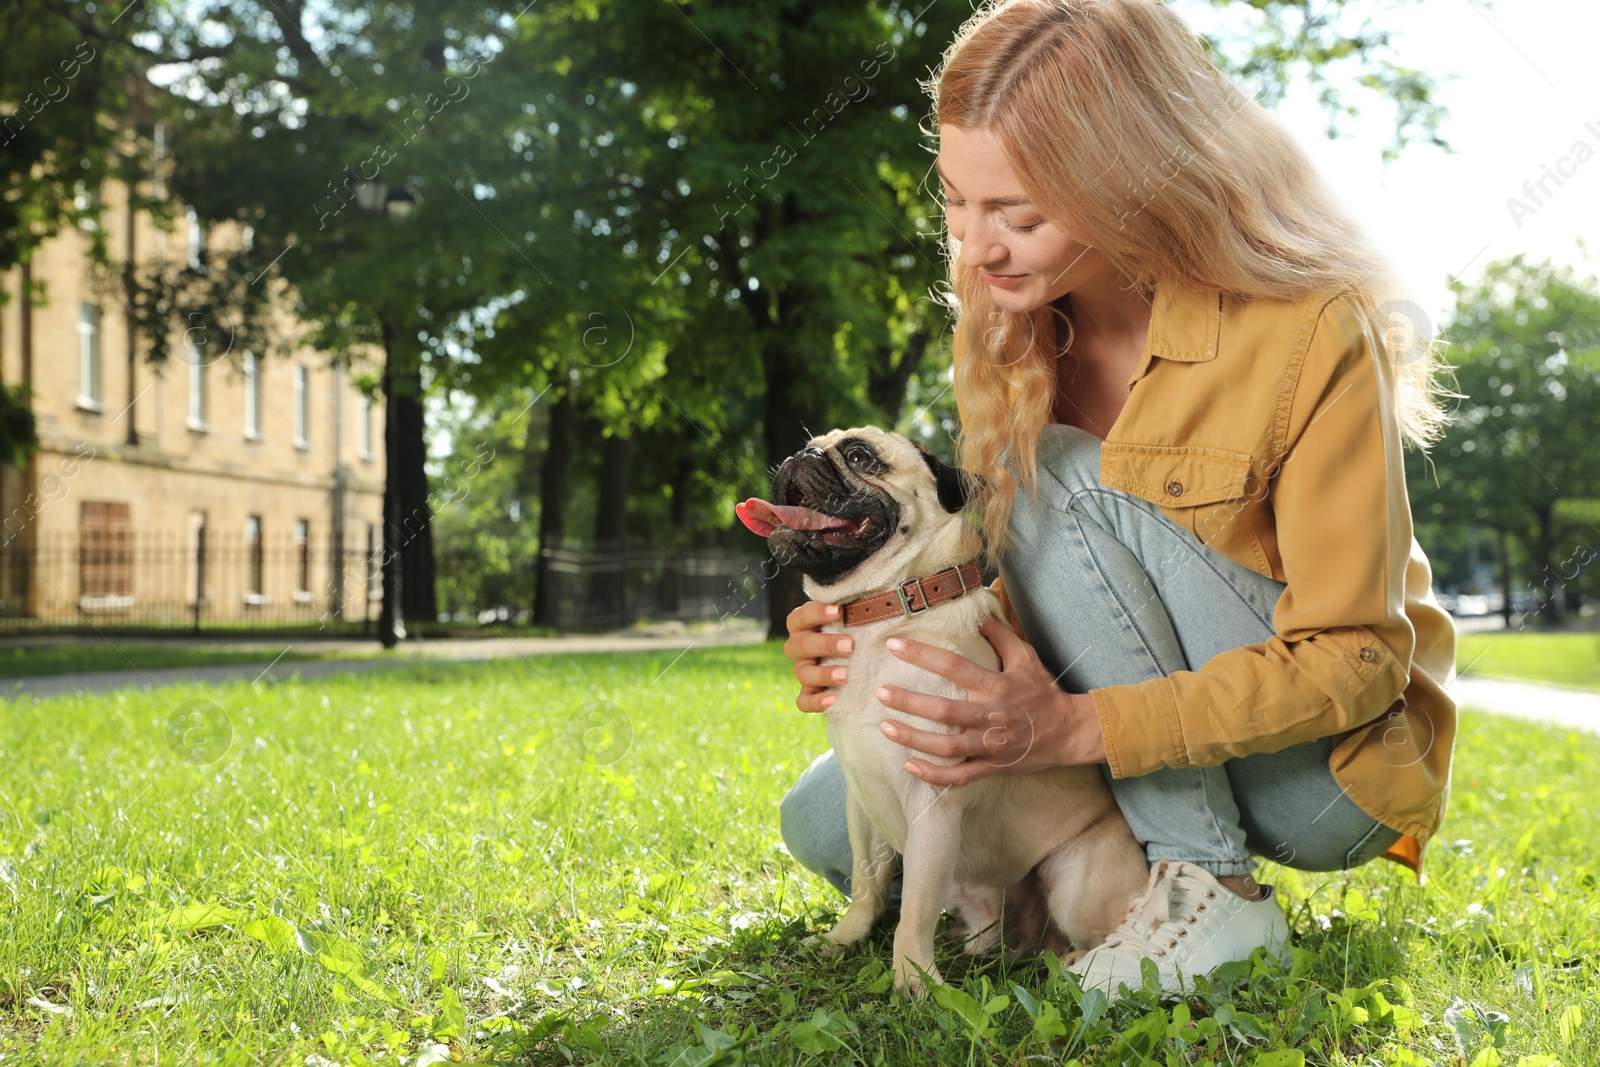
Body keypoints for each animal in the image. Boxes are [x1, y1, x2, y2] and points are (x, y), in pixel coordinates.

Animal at [736, 422, 1152, 991]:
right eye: (808, 443)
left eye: (860, 456)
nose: (802, 455)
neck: (883, 613)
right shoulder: (862, 799)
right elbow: (868, 885)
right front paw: (844, 940)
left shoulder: (931, 805)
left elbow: (913, 909)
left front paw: (915, 982)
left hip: (1073, 879)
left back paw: (1077, 964)